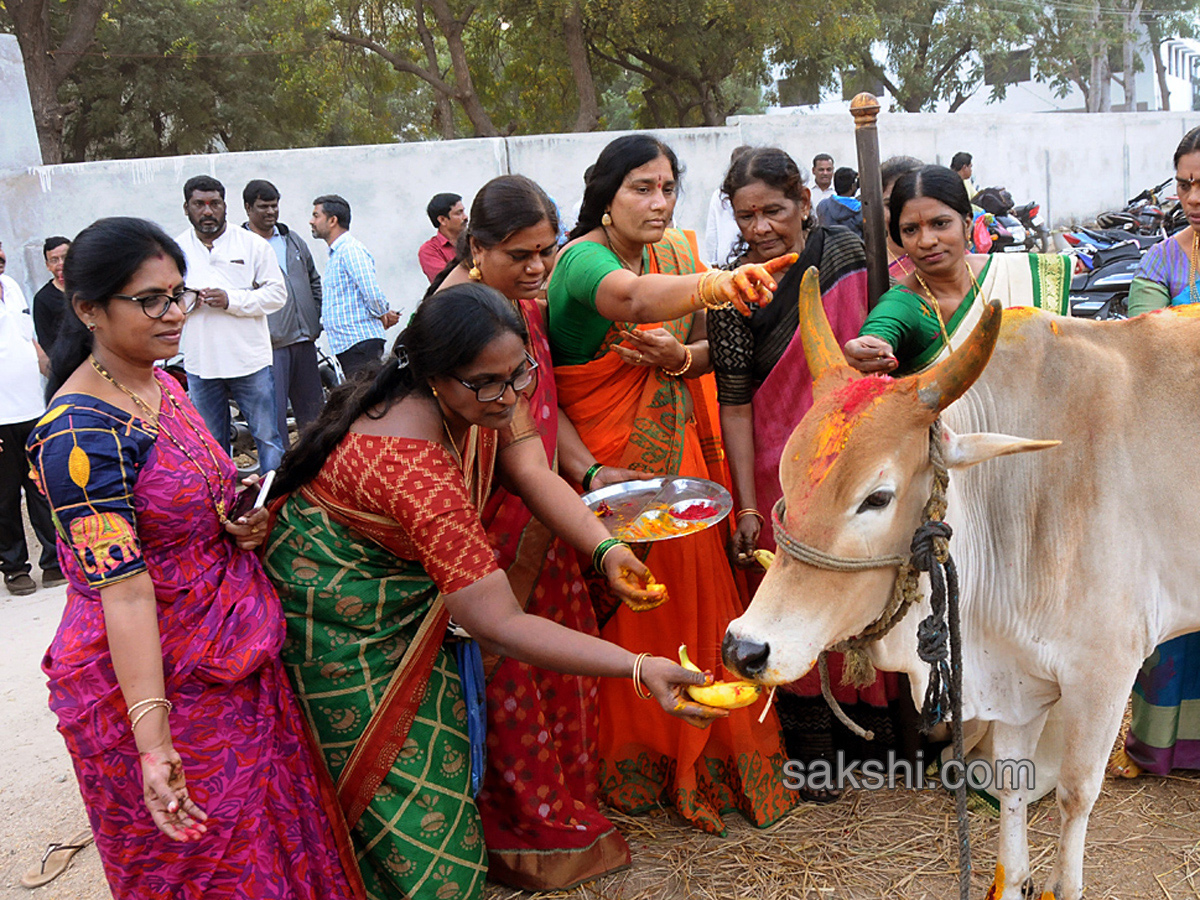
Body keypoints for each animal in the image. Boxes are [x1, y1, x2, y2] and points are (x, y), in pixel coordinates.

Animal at [720, 273, 1200, 900]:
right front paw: (1011, 879)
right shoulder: (1018, 681)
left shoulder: (1105, 671)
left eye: (877, 497)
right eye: (784, 475)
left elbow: (1075, 795)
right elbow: (1014, 783)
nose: (744, 648)